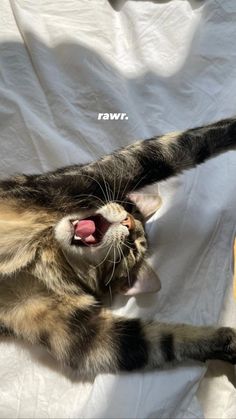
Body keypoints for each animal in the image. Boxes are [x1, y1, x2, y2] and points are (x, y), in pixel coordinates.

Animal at [0, 115, 236, 378]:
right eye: (129, 209)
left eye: (131, 249)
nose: (127, 223)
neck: (47, 252)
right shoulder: (95, 174)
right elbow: (171, 149)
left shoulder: (85, 334)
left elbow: (162, 340)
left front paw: (223, 341)